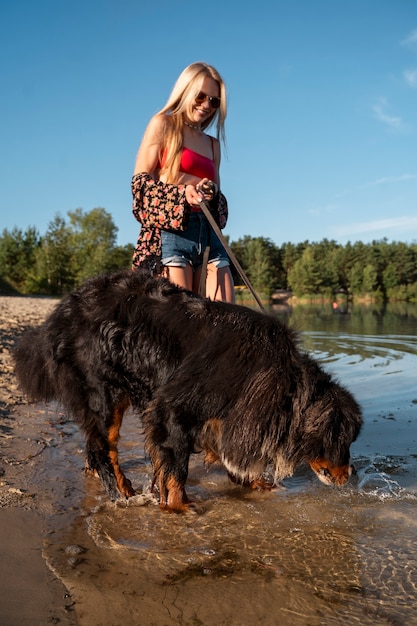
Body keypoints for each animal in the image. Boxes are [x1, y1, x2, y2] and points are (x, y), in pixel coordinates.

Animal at [13, 270, 360, 510]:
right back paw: (121, 493)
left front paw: (256, 483)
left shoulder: (232, 413)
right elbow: (176, 467)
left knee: (95, 445)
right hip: (103, 392)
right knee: (103, 449)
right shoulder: (172, 407)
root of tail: (58, 315)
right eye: (343, 440)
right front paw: (179, 505)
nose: (352, 473)